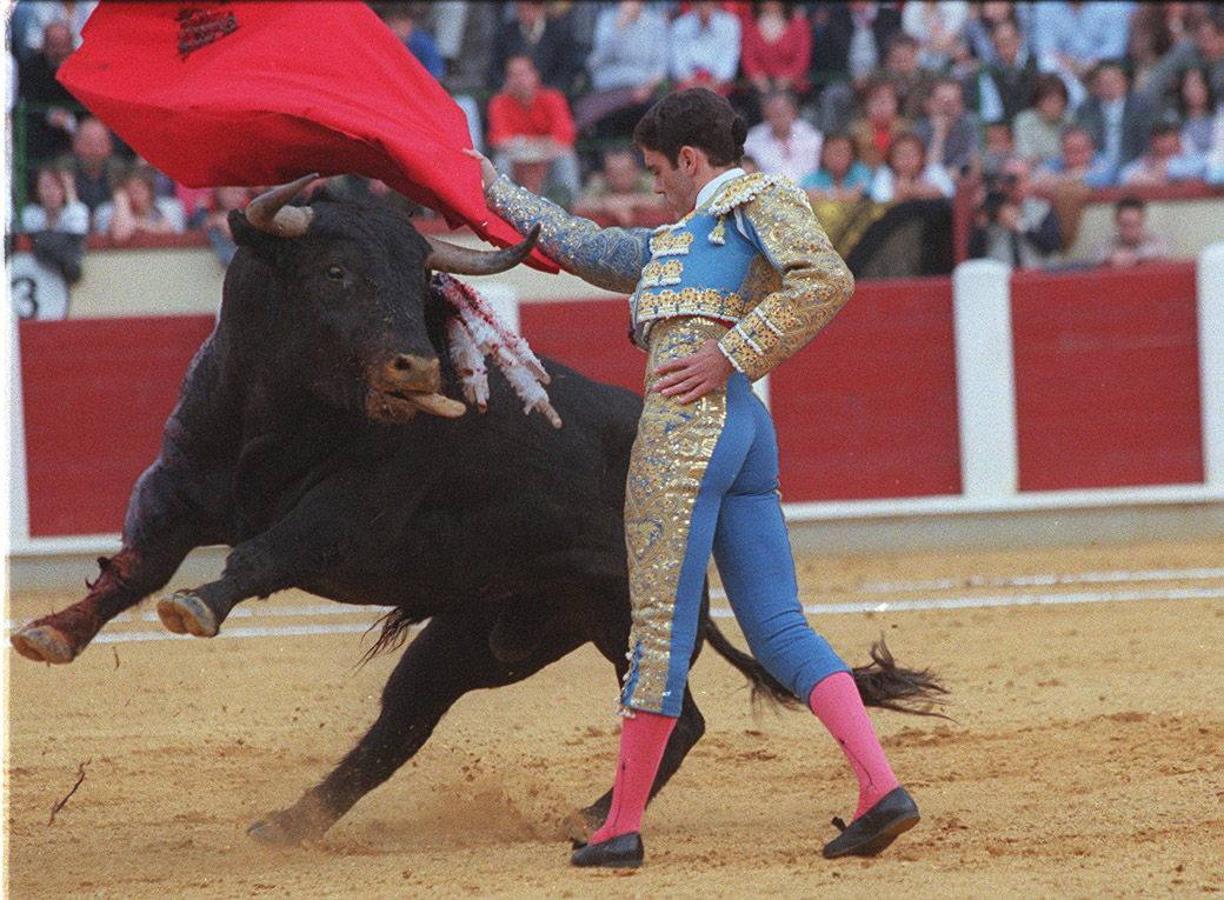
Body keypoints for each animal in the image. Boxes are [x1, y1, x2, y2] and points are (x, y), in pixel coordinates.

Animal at [9, 173, 940, 842]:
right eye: (335, 272)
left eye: (418, 276)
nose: (417, 368)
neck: (276, 417)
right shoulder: (176, 486)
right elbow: (133, 566)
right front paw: (52, 631)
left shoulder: (350, 520)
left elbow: (264, 551)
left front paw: (197, 605)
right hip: (497, 630)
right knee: (409, 718)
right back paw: (290, 823)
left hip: (614, 607)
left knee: (668, 714)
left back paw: (588, 820)